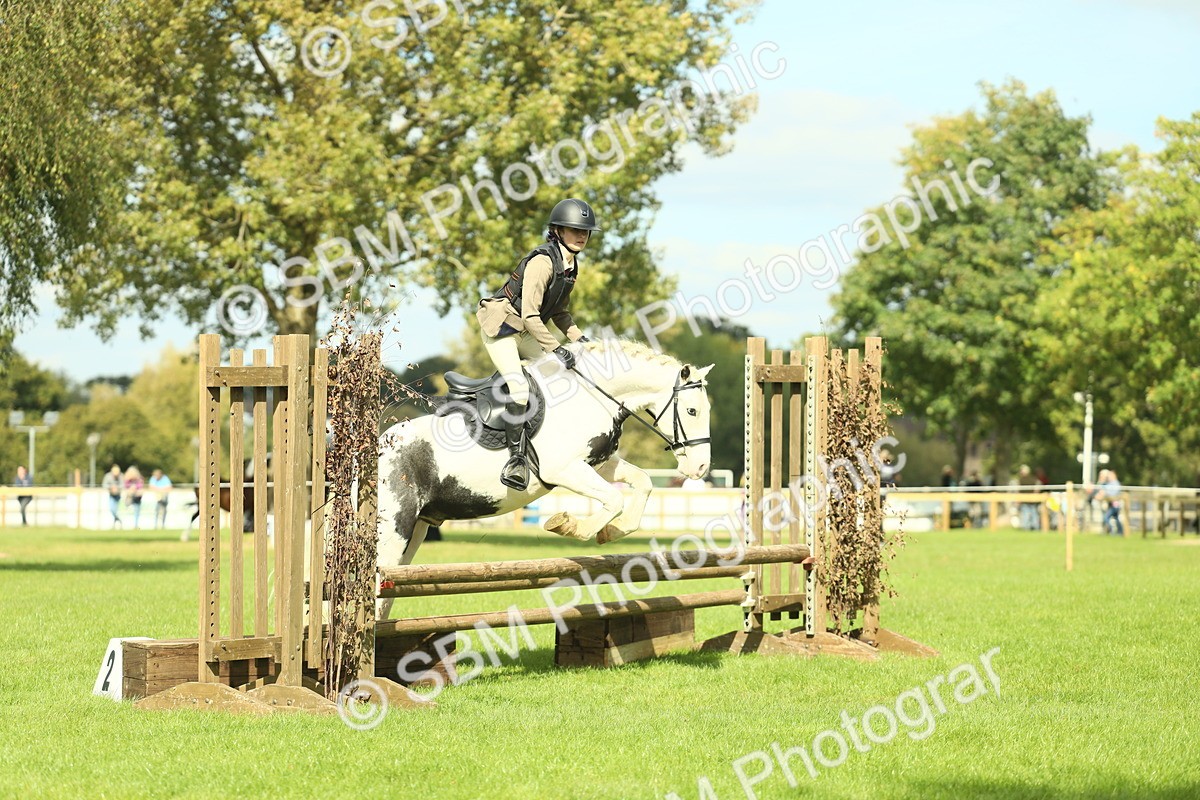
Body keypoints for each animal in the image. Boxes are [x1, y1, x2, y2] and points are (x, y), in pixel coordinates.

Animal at [375, 339, 713, 617]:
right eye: (692, 411)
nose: (700, 468)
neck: (592, 395)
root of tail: (379, 448)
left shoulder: (597, 463)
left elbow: (642, 482)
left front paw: (612, 531)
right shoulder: (563, 469)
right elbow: (614, 498)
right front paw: (572, 526)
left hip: (417, 531)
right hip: (394, 530)